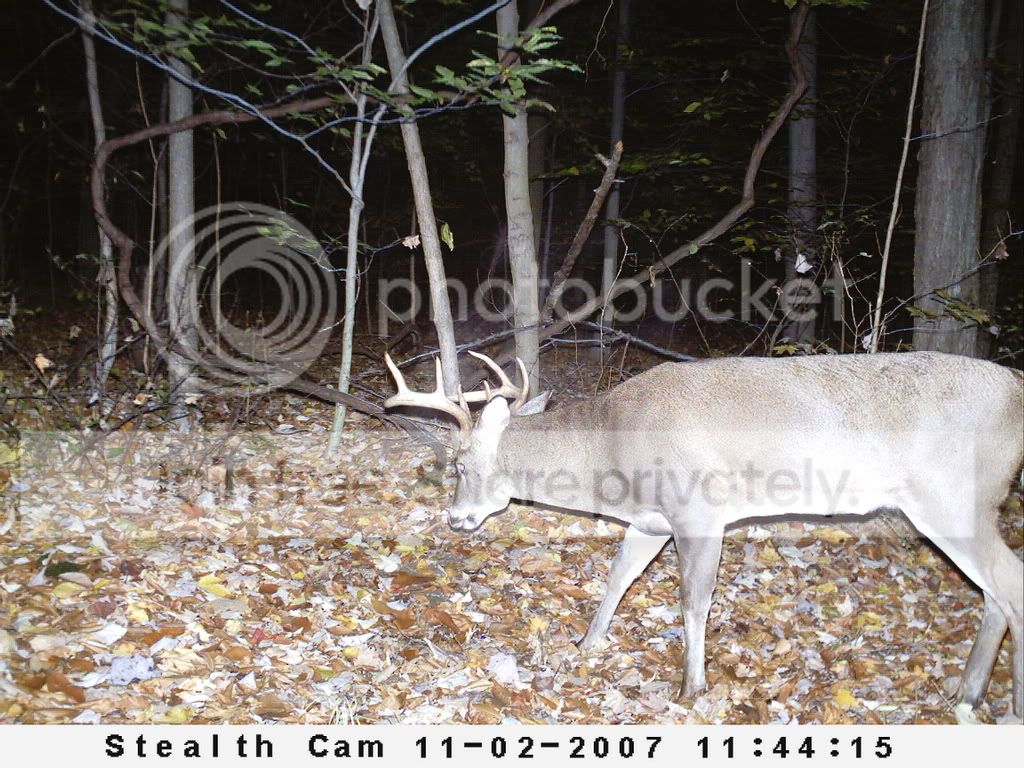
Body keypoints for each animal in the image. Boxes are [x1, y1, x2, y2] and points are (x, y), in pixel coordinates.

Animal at [383, 350, 1024, 721]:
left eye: (460, 463)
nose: (455, 518)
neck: (611, 454)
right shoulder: (650, 521)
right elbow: (618, 579)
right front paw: (586, 645)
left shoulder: (699, 511)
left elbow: (694, 600)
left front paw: (691, 686)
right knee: (996, 592)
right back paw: (965, 695)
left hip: (951, 496)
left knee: (1009, 584)